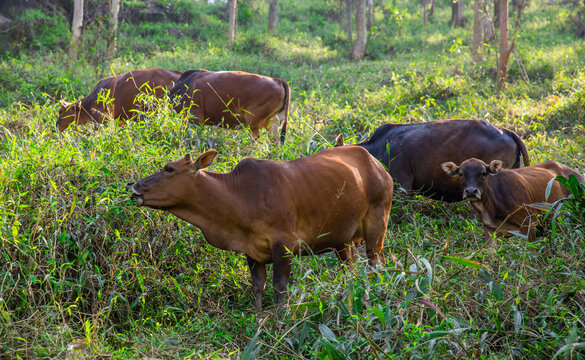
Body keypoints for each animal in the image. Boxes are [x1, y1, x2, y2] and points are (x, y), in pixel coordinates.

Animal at [128, 146, 392, 310]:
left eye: (169, 168)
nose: (134, 186)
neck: (240, 196)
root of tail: (377, 164)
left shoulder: (284, 244)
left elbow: (279, 288)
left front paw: (281, 318)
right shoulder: (251, 251)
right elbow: (258, 286)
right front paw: (259, 317)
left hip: (377, 225)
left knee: (376, 262)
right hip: (342, 242)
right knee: (351, 269)